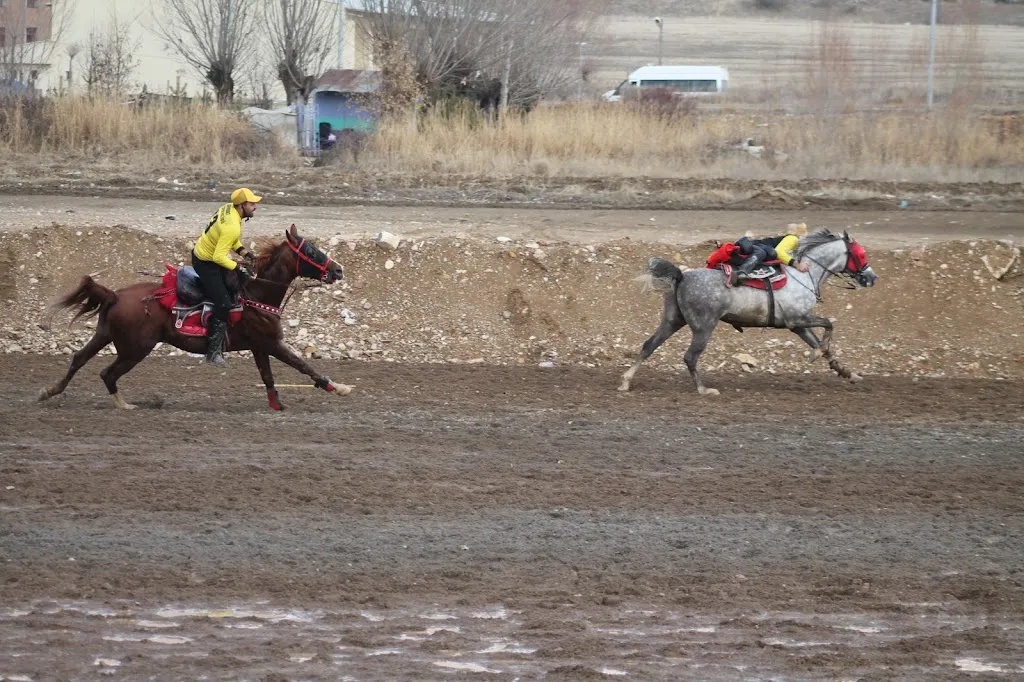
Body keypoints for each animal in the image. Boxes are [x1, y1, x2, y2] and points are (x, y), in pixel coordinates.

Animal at [38, 223, 356, 409]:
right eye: (311, 250)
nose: (338, 270)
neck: (256, 294)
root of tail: (115, 295)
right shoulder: (270, 343)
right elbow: (303, 366)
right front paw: (339, 387)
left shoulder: (259, 347)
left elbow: (267, 377)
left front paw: (277, 405)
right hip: (135, 349)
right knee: (107, 372)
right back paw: (125, 405)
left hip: (105, 335)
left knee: (79, 358)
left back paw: (49, 391)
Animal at [618, 228, 876, 393]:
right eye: (861, 253)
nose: (872, 277)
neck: (805, 273)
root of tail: (681, 277)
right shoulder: (797, 319)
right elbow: (829, 325)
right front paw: (815, 355)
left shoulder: (798, 326)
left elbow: (825, 347)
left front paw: (848, 373)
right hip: (703, 326)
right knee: (690, 356)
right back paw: (703, 389)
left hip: (673, 320)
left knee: (649, 345)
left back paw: (626, 381)